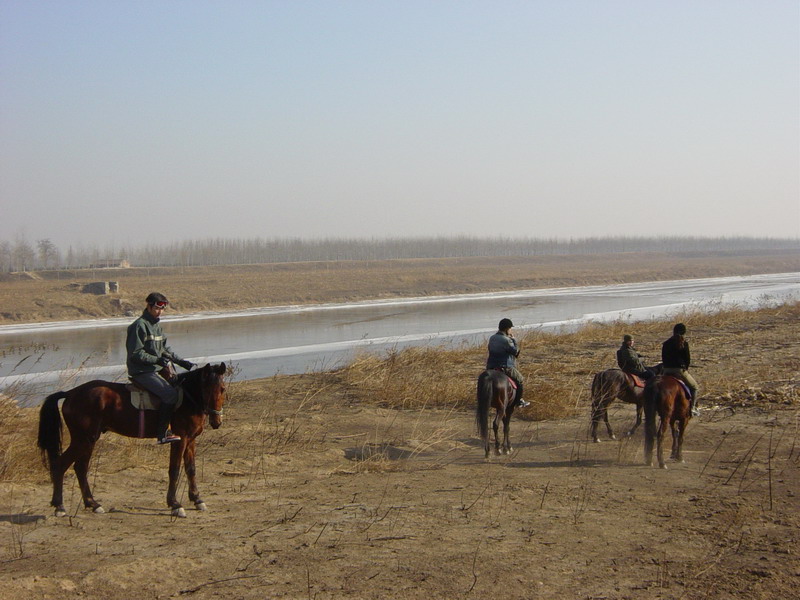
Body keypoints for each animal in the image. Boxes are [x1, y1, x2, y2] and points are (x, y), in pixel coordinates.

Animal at [38, 364, 227, 516]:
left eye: (223, 389)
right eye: (206, 388)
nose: (216, 420)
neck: (188, 398)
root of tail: (71, 393)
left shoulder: (190, 440)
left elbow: (191, 469)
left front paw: (197, 499)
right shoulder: (180, 439)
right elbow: (174, 470)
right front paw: (175, 504)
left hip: (89, 440)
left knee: (80, 468)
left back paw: (93, 504)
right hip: (82, 440)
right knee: (61, 465)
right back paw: (60, 506)